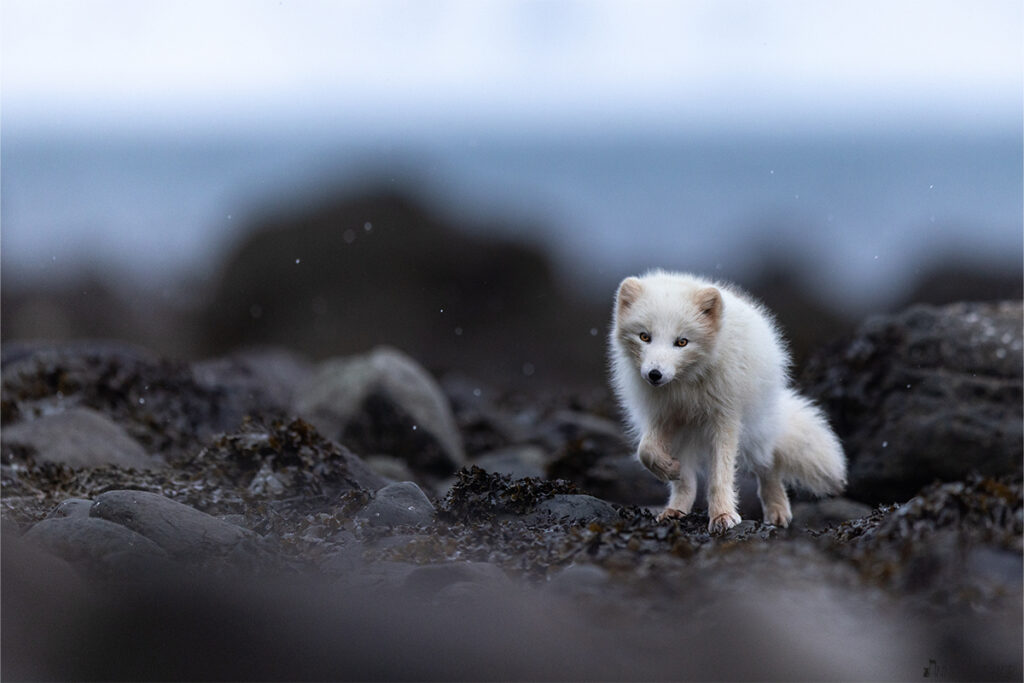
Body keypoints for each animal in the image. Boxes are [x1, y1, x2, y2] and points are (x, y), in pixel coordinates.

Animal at [610, 270, 843, 532]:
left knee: (768, 464)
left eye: (682, 342)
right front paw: (669, 468)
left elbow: (720, 475)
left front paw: (722, 515)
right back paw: (675, 510)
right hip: (684, 436)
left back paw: (777, 510)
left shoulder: (725, 418)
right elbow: (646, 451)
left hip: (754, 432)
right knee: (686, 482)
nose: (654, 374)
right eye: (644, 336)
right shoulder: (662, 414)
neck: (686, 388)